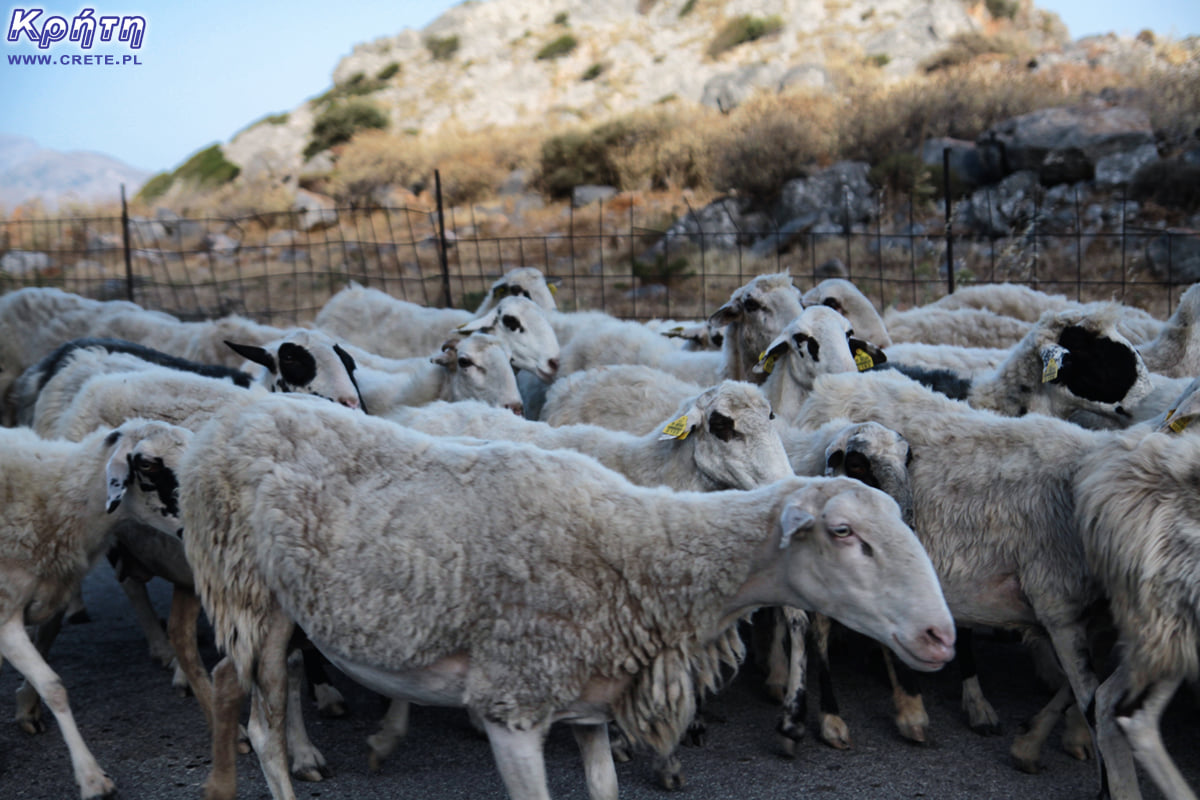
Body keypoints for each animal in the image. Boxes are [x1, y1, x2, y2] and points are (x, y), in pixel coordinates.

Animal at [0, 419, 192, 800]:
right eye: (147, 465)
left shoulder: (52, 594)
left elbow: (44, 654)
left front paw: (26, 706)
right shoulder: (4, 615)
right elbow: (55, 686)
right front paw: (91, 778)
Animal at [180, 393, 955, 800]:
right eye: (844, 532)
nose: (940, 636)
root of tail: (234, 415)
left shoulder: (592, 695)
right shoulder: (522, 703)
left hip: (279, 601)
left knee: (242, 680)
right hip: (250, 591)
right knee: (263, 714)